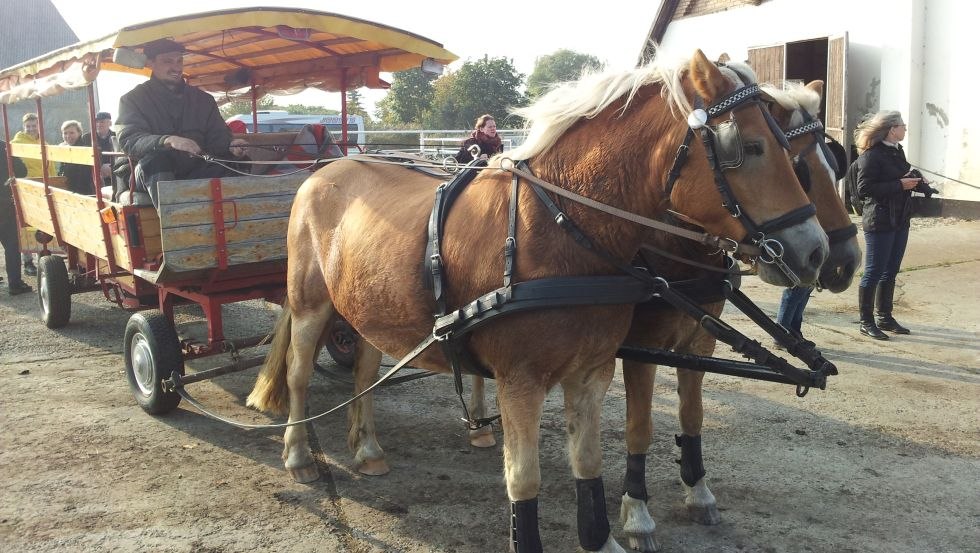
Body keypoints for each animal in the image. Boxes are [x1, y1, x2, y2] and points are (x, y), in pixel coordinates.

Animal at [620, 80, 856, 548]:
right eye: (801, 170)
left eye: (834, 164)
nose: (841, 260)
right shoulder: (640, 348)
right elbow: (639, 425)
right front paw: (637, 512)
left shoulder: (699, 343)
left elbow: (693, 416)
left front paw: (698, 490)